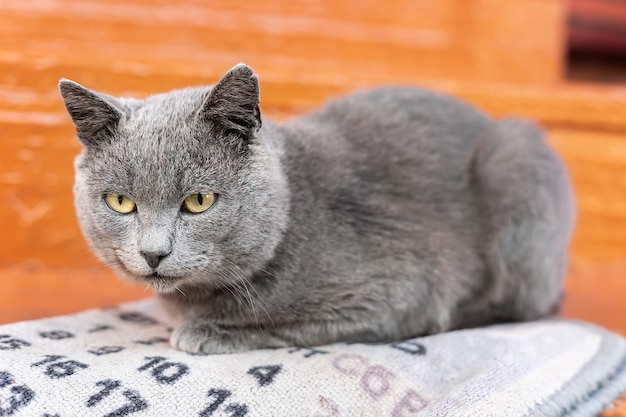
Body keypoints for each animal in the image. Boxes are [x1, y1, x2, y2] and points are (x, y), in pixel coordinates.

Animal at [59, 63, 576, 352]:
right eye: (121, 202)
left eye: (198, 201)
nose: (153, 253)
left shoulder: (401, 292)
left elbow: (287, 323)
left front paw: (212, 331)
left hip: (514, 163)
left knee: (523, 305)